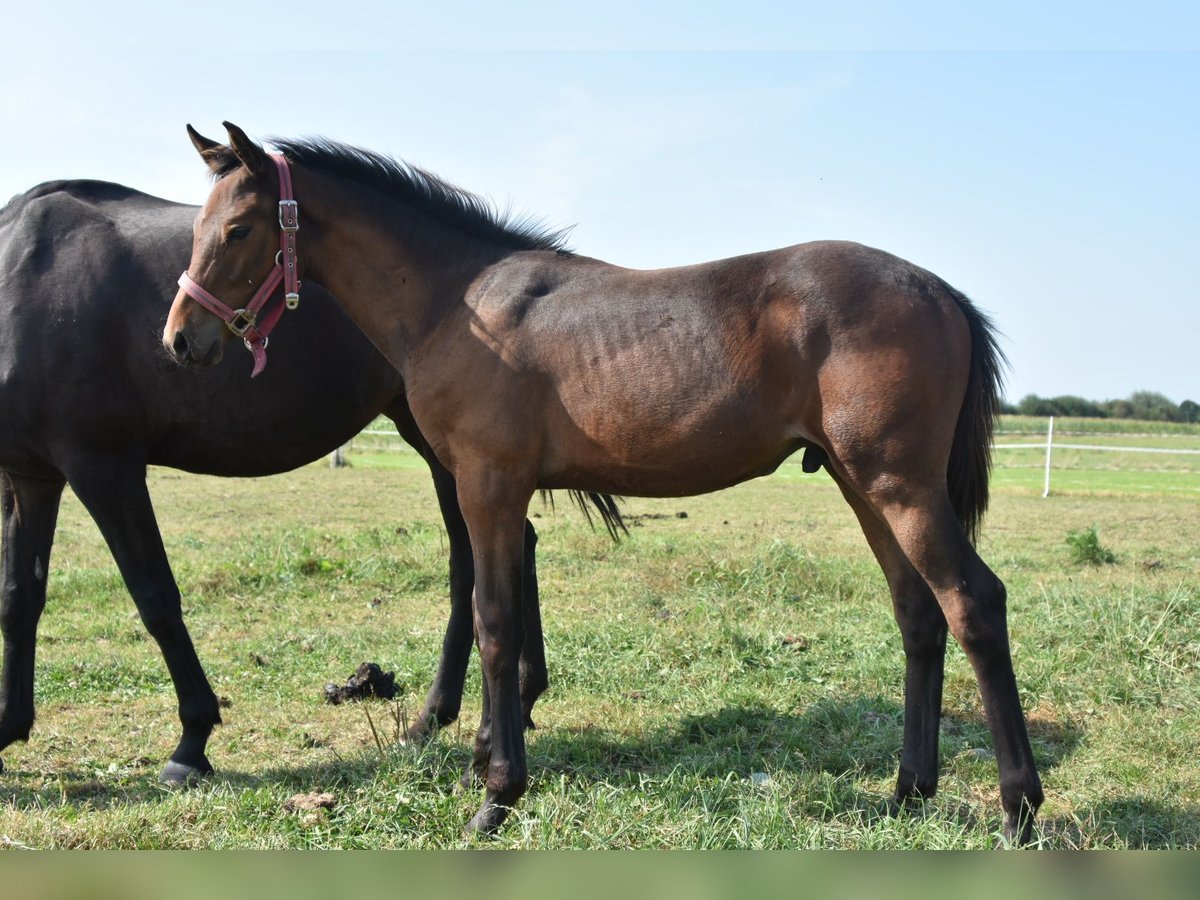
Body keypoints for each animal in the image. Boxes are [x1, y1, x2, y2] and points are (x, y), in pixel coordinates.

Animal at [0, 180, 619, 787]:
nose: (178, 342)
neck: (24, 279)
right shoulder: (30, 476)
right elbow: (18, 597)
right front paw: (9, 726)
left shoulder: (104, 466)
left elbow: (155, 597)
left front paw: (192, 741)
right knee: (511, 549)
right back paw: (516, 698)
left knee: (472, 565)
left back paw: (441, 715)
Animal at [164, 123, 1046, 844]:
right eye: (199, 229)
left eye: (238, 230)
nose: (180, 339)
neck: (457, 301)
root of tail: (941, 292)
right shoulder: (498, 491)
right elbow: (508, 617)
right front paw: (488, 763)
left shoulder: (488, 486)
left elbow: (493, 621)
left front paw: (498, 795)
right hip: (863, 486)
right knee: (918, 616)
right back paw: (909, 792)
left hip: (900, 486)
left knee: (973, 603)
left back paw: (1017, 808)